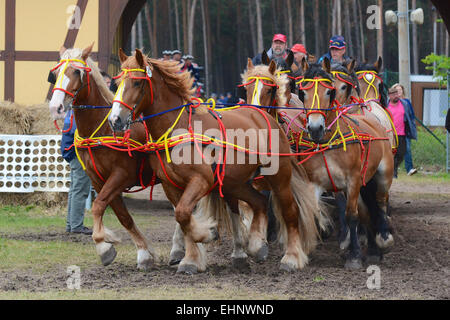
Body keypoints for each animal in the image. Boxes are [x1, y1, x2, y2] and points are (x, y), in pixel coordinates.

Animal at [48, 44, 157, 270]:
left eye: (76, 72)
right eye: (56, 73)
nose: (56, 107)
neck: (102, 128)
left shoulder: (122, 175)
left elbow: (98, 206)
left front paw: (103, 244)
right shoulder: (98, 180)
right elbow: (123, 216)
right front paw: (143, 252)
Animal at [108, 48, 326, 274]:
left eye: (137, 83)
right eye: (117, 83)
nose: (115, 120)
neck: (178, 129)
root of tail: (263, 114)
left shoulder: (201, 180)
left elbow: (184, 214)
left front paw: (206, 234)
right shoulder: (171, 186)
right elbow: (182, 218)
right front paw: (191, 258)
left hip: (279, 176)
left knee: (290, 212)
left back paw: (291, 258)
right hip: (234, 183)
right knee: (258, 201)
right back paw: (256, 245)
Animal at [243, 57, 394, 268]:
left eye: (330, 91)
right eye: (303, 91)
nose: (315, 128)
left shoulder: (353, 180)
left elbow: (351, 215)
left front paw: (354, 255)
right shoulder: (313, 181)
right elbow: (307, 210)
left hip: (382, 176)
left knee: (380, 203)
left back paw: (383, 238)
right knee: (367, 210)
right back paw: (372, 249)